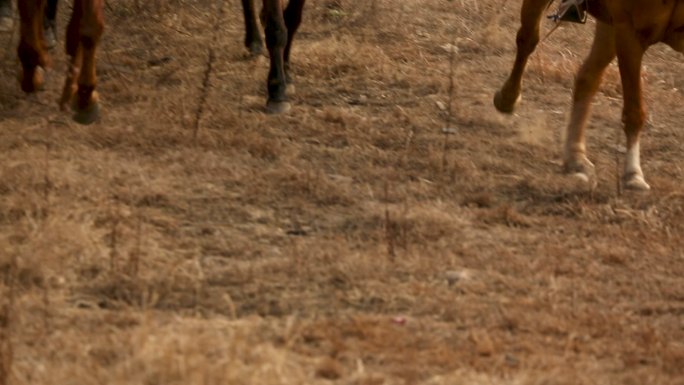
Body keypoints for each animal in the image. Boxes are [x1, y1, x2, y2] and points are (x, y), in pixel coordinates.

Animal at [494, 0, 684, 190]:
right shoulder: (629, 34)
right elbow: (634, 111)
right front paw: (633, 175)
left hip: (608, 26)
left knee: (587, 78)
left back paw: (576, 157)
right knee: (527, 40)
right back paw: (508, 99)